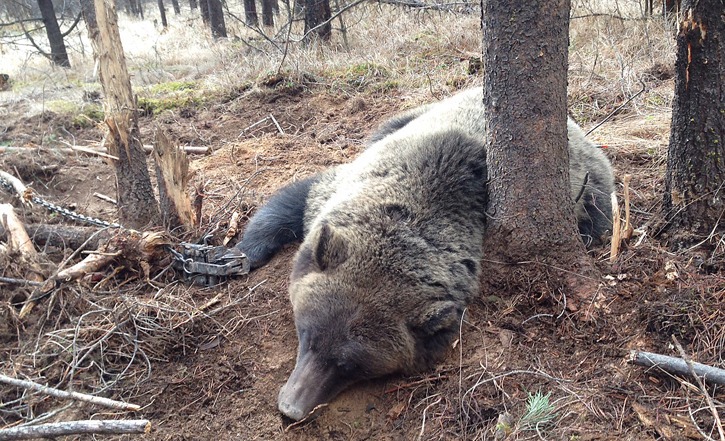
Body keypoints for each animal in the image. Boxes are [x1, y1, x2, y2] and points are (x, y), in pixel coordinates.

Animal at [235, 87, 612, 420]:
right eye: (307, 335)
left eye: (349, 364)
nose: (291, 408)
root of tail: (573, 123)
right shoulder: (349, 181)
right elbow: (294, 199)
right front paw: (236, 255)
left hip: (591, 191)